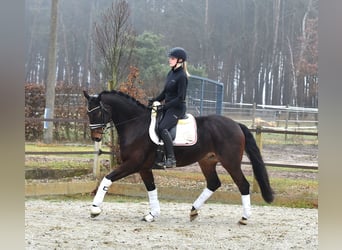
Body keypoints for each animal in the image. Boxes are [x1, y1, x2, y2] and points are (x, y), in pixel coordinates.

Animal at [84, 90, 274, 225]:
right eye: (88, 113)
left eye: (97, 113)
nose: (96, 137)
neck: (136, 125)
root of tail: (236, 124)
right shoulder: (144, 168)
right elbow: (151, 189)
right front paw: (152, 214)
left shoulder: (133, 164)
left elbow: (107, 179)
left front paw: (94, 209)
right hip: (207, 161)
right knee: (213, 183)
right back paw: (193, 210)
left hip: (231, 162)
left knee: (243, 184)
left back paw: (244, 218)